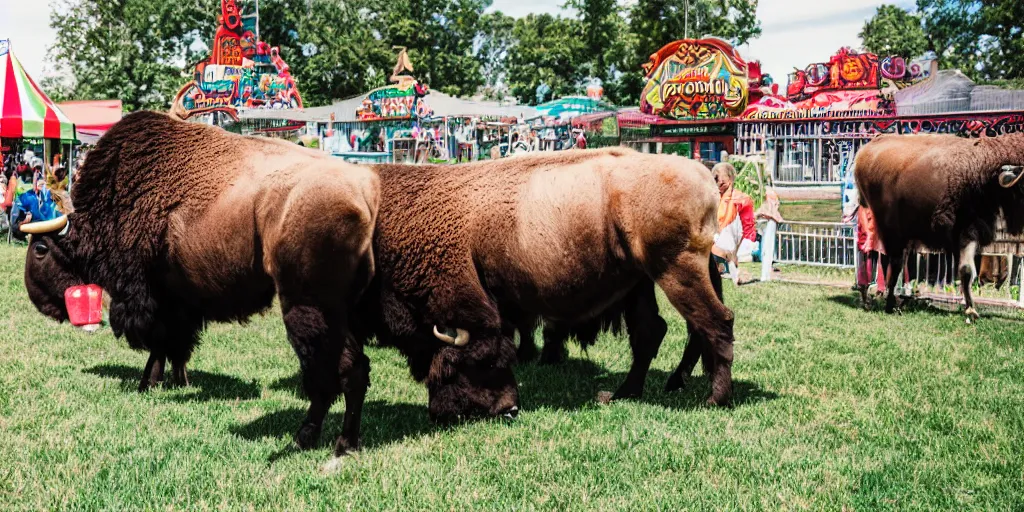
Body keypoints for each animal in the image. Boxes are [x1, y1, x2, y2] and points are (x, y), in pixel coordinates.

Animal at [19, 112, 380, 456]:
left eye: (40, 249)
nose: (42, 304)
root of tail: (364, 193)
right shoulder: (180, 300)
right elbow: (178, 345)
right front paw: (179, 380)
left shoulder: (153, 297)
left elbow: (160, 343)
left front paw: (147, 384)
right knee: (355, 369)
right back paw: (347, 442)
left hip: (311, 307)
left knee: (334, 370)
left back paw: (318, 439)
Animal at [354, 148, 737, 419]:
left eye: (467, 365)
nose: (509, 410)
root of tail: (703, 174)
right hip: (643, 282)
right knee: (654, 332)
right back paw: (625, 392)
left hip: (677, 270)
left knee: (715, 322)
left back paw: (714, 399)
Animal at [856, 132, 1024, 319]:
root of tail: (866, 150)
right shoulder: (964, 231)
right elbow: (966, 269)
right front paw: (971, 309)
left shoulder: (970, 233)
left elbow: (965, 271)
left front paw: (970, 308)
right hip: (889, 231)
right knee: (889, 262)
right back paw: (887, 302)